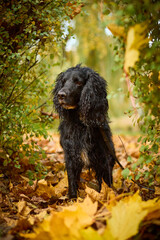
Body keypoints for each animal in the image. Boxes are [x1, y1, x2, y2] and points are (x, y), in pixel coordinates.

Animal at [53, 64, 115, 198]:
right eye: (63, 82)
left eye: (78, 82)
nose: (60, 95)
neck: (81, 123)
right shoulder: (70, 154)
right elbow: (71, 179)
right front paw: (72, 198)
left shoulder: (105, 156)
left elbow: (106, 181)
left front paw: (109, 196)